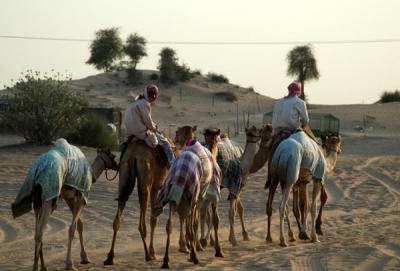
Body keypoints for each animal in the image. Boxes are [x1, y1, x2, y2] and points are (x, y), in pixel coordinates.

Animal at [10, 139, 117, 270]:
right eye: (113, 156)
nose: (117, 165)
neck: (91, 175)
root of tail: (38, 170)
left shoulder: (69, 198)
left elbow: (79, 224)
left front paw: (85, 258)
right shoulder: (81, 196)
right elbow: (72, 228)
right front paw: (70, 264)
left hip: (37, 201)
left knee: (37, 231)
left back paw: (43, 266)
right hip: (49, 197)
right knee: (40, 231)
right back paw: (37, 267)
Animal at [103, 132, 180, 266]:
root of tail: (133, 153)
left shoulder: (155, 188)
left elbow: (153, 219)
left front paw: (153, 252)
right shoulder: (156, 188)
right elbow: (154, 219)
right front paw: (152, 253)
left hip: (124, 173)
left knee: (118, 215)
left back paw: (110, 257)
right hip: (145, 176)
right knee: (141, 221)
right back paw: (147, 255)